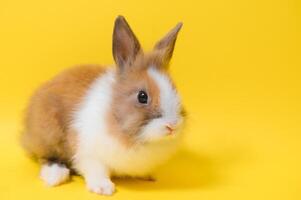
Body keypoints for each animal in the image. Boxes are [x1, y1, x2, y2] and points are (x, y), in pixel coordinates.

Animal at [21, 15, 184, 195]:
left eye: (175, 89)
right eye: (142, 96)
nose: (172, 126)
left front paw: (150, 176)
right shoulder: (88, 152)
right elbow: (96, 169)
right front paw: (103, 188)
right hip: (48, 132)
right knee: (46, 157)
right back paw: (55, 176)